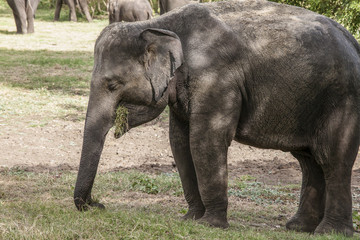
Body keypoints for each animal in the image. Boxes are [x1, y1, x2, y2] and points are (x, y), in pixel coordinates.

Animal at [74, 0, 360, 237]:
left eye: (112, 85)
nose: (97, 204)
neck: (159, 25)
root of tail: (353, 43)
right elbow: (179, 142)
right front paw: (189, 219)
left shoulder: (216, 78)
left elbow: (205, 139)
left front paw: (210, 225)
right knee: (308, 160)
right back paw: (299, 228)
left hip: (343, 98)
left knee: (331, 158)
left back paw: (330, 232)